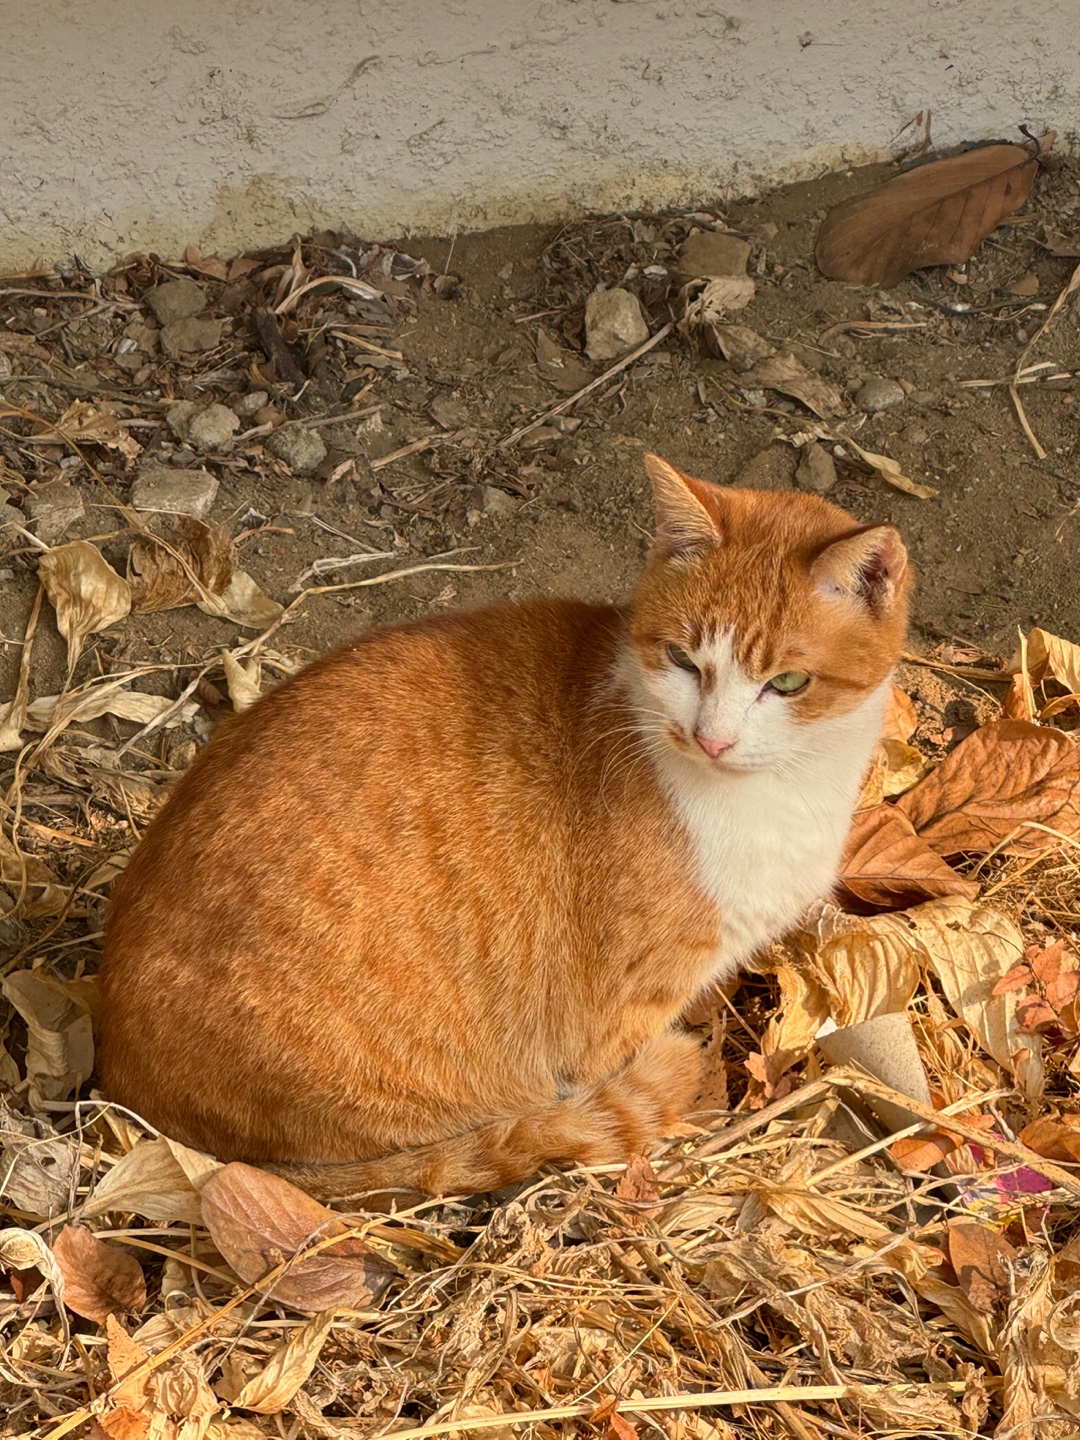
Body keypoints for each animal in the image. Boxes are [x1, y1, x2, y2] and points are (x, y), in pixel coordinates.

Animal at [103, 455, 915, 1198]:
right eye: (683, 660)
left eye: (788, 683)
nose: (711, 738)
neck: (779, 793)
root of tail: (124, 1078)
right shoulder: (619, 1015)